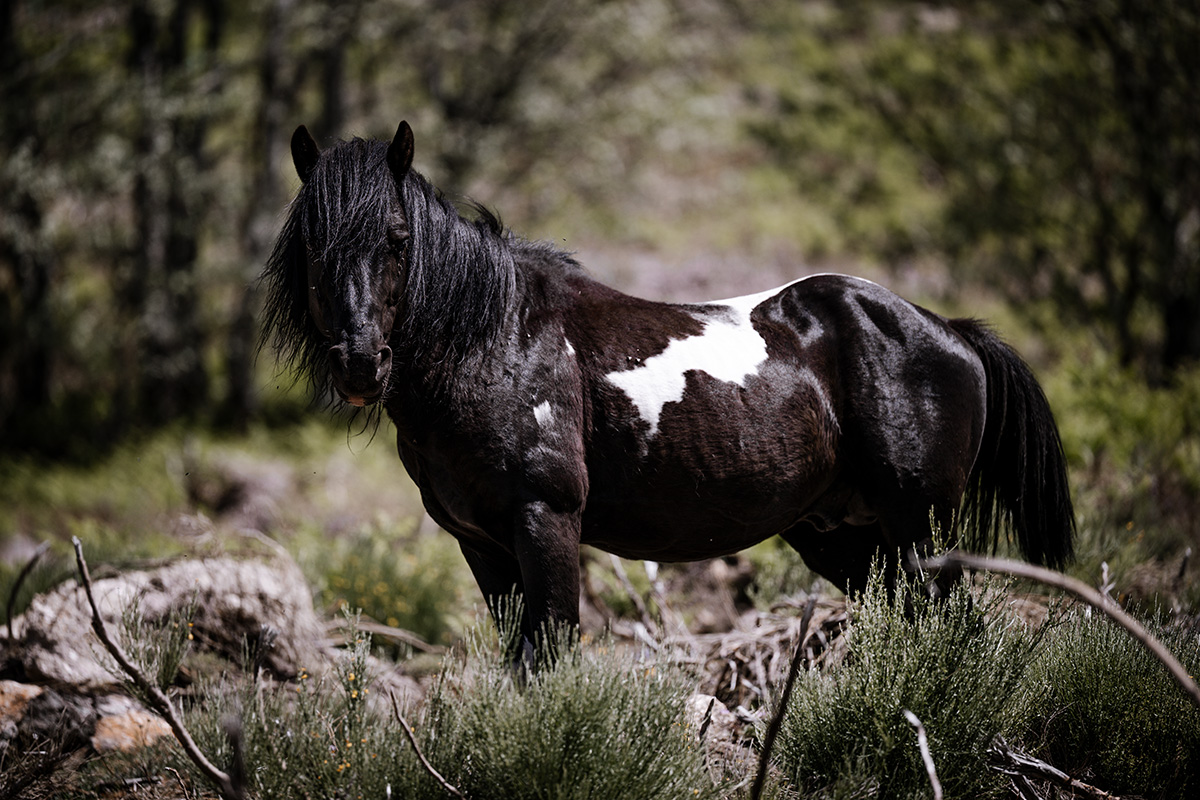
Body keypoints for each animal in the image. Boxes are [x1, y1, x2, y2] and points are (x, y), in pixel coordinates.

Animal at [262, 120, 1075, 661]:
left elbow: (550, 658)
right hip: (844, 536)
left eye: (397, 239)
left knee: (956, 633)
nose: (360, 364)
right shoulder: (480, 544)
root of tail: (949, 331)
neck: (496, 341)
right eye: (311, 245)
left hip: (920, 529)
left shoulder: (545, 521)